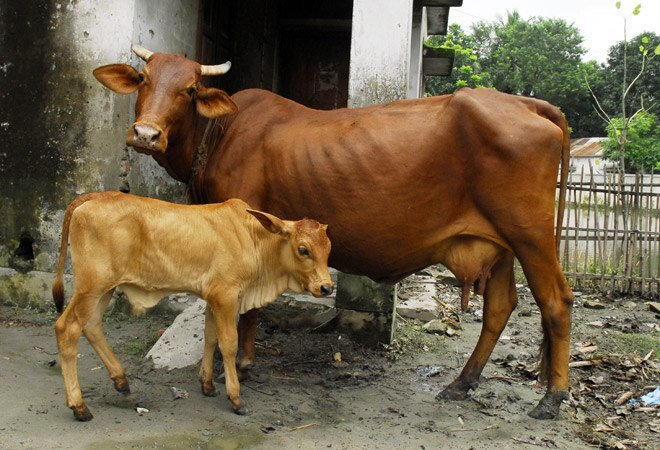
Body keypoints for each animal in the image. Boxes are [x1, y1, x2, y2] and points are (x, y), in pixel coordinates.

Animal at [52, 192, 333, 421]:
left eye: (328, 249)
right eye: (303, 249)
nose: (327, 287)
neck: (253, 239)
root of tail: (91, 197)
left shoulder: (212, 298)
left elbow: (210, 337)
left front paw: (207, 384)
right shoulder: (225, 296)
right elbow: (228, 344)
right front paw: (235, 398)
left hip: (104, 289)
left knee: (91, 325)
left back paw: (120, 380)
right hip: (91, 287)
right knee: (67, 328)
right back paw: (79, 406)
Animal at [92, 46, 574, 419]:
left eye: (189, 90)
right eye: (144, 79)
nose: (146, 134)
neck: (222, 133)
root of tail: (525, 103)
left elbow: (249, 308)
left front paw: (244, 363)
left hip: (530, 235)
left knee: (556, 302)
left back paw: (552, 396)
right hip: (499, 245)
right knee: (500, 306)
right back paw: (463, 382)